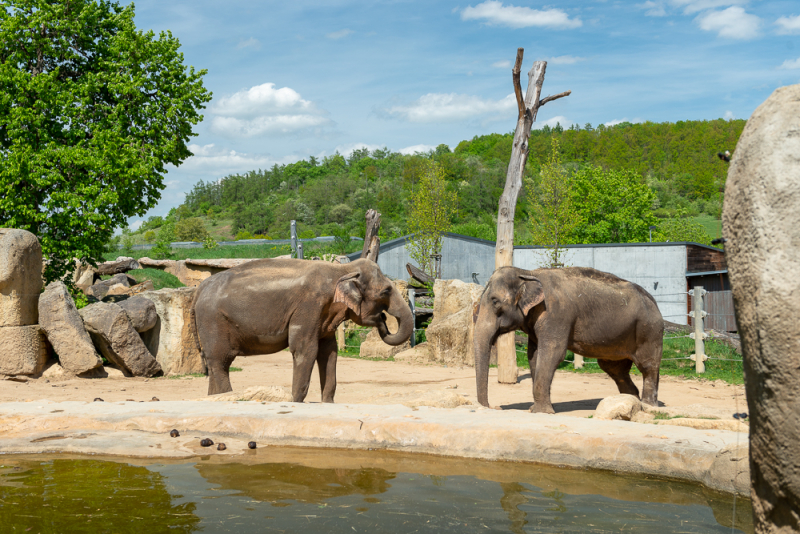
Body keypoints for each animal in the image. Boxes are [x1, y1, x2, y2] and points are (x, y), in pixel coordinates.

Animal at [192, 258, 412, 402]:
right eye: (386, 291)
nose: (383, 318)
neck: (342, 269)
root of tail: (199, 288)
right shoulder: (309, 306)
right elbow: (305, 349)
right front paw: (296, 402)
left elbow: (329, 352)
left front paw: (327, 403)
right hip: (213, 321)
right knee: (221, 361)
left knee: (216, 365)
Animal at [472, 266, 664, 414]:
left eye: (495, 302)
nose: (493, 407)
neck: (528, 272)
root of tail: (654, 303)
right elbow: (534, 355)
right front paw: (535, 409)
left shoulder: (556, 314)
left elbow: (552, 353)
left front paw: (541, 412)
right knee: (615, 369)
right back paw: (630, 401)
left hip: (649, 331)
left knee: (647, 366)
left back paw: (648, 406)